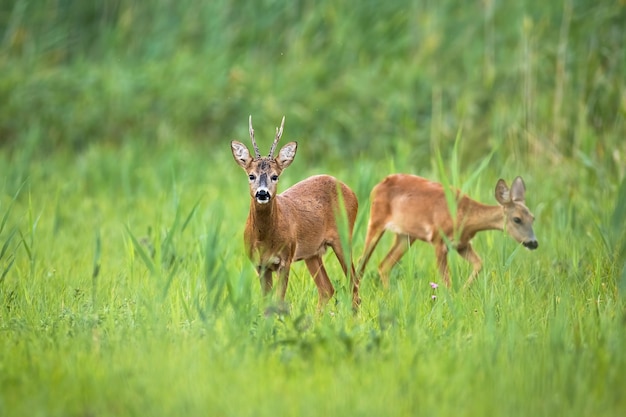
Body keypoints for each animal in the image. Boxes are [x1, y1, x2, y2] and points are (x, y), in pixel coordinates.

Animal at [229, 115, 358, 308]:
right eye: (251, 175)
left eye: (275, 176)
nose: (262, 193)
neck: (264, 238)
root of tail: (351, 192)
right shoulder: (260, 265)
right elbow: (266, 302)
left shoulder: (285, 259)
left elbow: (279, 300)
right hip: (313, 252)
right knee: (327, 289)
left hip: (343, 237)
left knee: (354, 282)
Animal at [356, 174, 536, 288]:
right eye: (517, 219)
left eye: (533, 218)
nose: (533, 243)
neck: (465, 216)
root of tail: (377, 186)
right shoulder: (438, 240)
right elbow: (446, 281)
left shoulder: (462, 244)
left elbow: (479, 264)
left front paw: (463, 291)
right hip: (376, 220)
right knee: (361, 262)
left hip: (405, 235)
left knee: (384, 266)